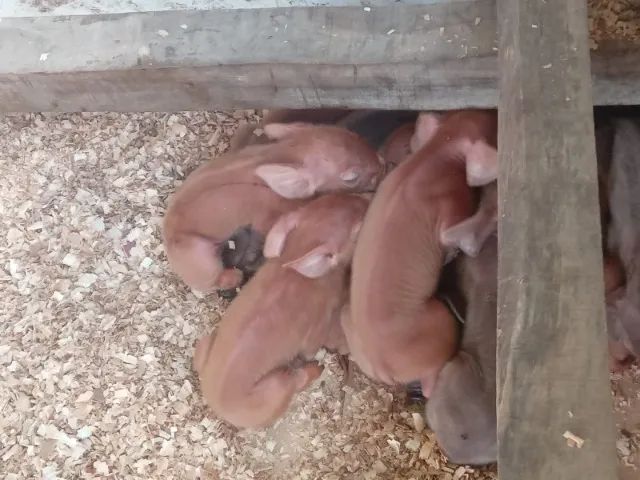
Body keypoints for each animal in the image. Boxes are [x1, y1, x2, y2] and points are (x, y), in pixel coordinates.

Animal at [163, 123, 383, 292]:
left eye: (354, 134)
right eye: (351, 177)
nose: (382, 164)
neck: (280, 154)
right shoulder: (268, 213)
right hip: (202, 261)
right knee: (209, 283)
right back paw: (234, 276)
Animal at [193, 193, 369, 429]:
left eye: (330, 197)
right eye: (358, 228)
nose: (368, 200)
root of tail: (214, 403)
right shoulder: (317, 328)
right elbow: (314, 346)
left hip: (207, 344)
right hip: (277, 387)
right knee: (296, 380)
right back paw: (316, 368)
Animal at [342, 109, 498, 396]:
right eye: (492, 127)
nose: (491, 110)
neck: (437, 151)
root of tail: (383, 366)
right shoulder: (450, 207)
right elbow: (454, 237)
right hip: (441, 324)